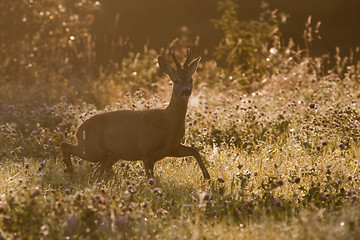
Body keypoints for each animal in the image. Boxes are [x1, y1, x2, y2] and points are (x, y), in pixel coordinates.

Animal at [59, 45, 211, 180]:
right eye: (176, 80)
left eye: (191, 79)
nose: (186, 91)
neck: (167, 124)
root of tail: (78, 130)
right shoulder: (146, 150)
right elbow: (151, 179)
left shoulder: (172, 148)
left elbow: (195, 150)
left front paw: (207, 177)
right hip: (92, 149)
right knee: (65, 145)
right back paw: (71, 171)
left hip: (108, 157)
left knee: (96, 173)